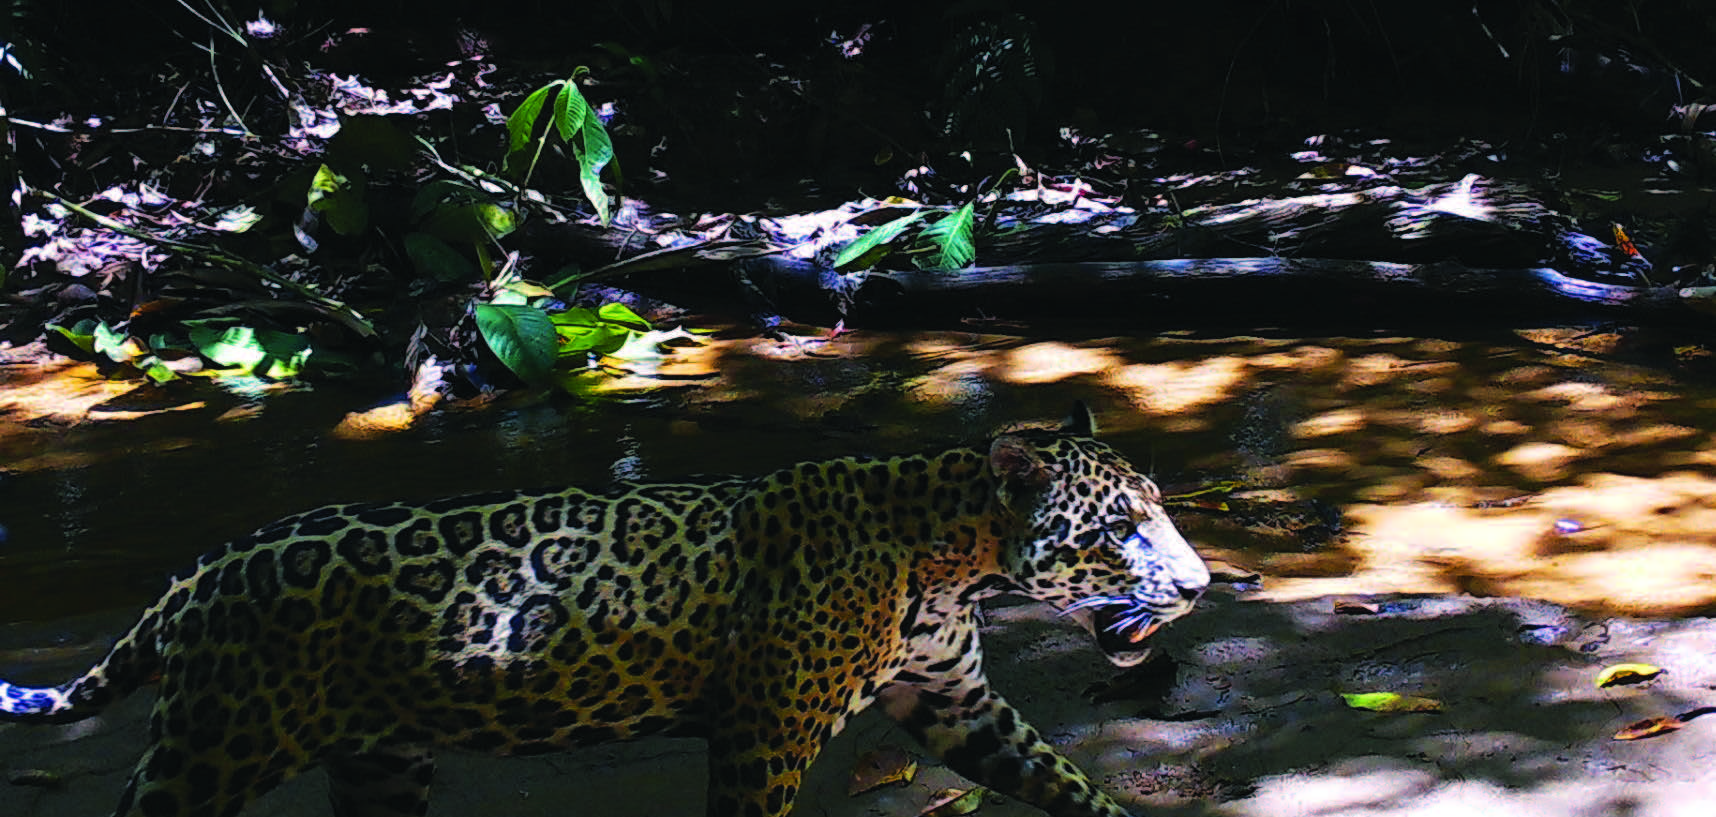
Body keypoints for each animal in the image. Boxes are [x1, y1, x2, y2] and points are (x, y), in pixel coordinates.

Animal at [0, 403, 1210, 817]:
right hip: (212, 749)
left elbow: (1062, 778)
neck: (951, 557)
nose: (1201, 586)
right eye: (1121, 525)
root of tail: (196, 571)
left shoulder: (955, 701)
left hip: (381, 763)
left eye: (1160, 509)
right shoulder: (765, 737)